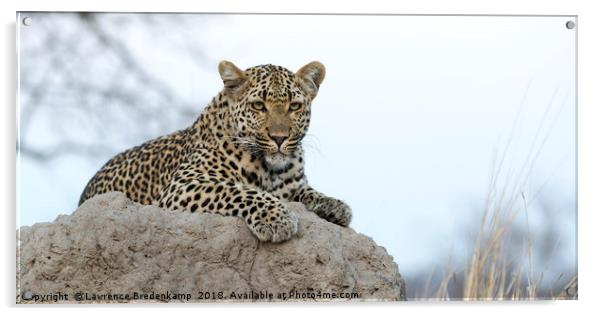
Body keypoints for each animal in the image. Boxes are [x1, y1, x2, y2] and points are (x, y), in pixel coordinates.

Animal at [79, 61, 352, 242]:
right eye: (258, 106)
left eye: (294, 106)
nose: (279, 138)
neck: (268, 168)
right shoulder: (182, 186)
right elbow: (238, 190)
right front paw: (276, 218)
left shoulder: (292, 187)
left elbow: (309, 192)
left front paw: (336, 206)